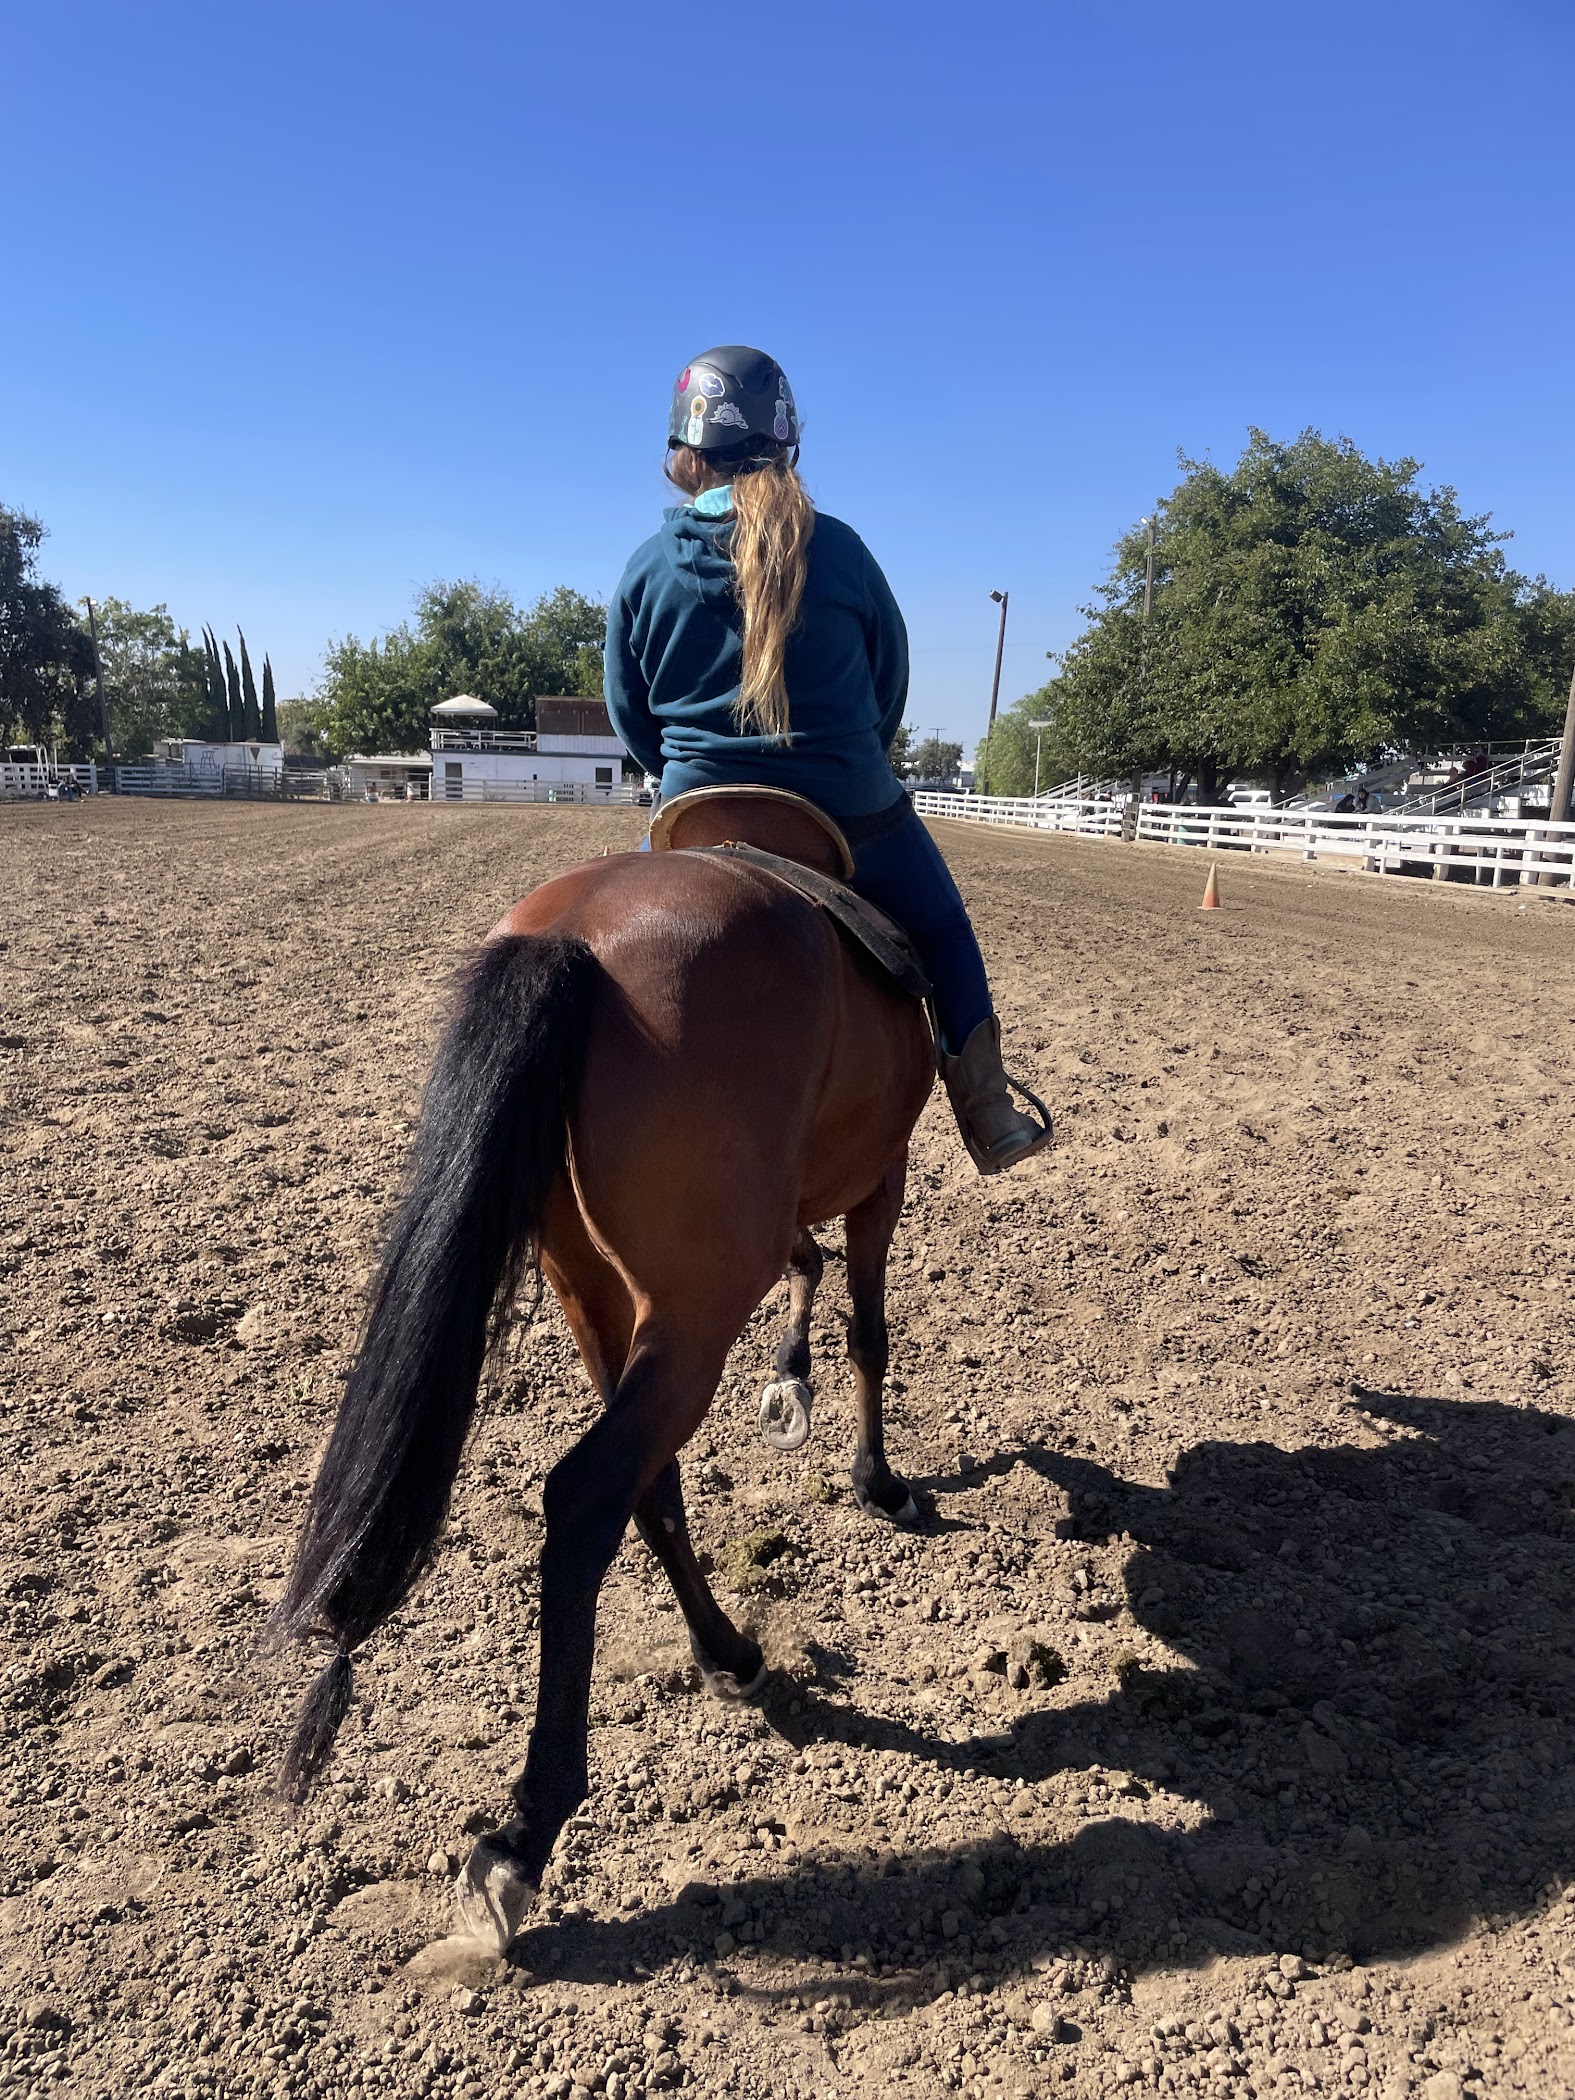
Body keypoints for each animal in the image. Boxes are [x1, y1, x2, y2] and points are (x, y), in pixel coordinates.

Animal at [268, 812, 936, 1952]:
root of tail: (571, 936)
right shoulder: (878, 1182)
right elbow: (869, 1329)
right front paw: (874, 1477)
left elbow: (810, 1279)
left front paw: (791, 1388)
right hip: (695, 1307)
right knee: (587, 1495)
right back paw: (525, 1835)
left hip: (588, 1286)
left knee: (643, 1485)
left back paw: (727, 1651)